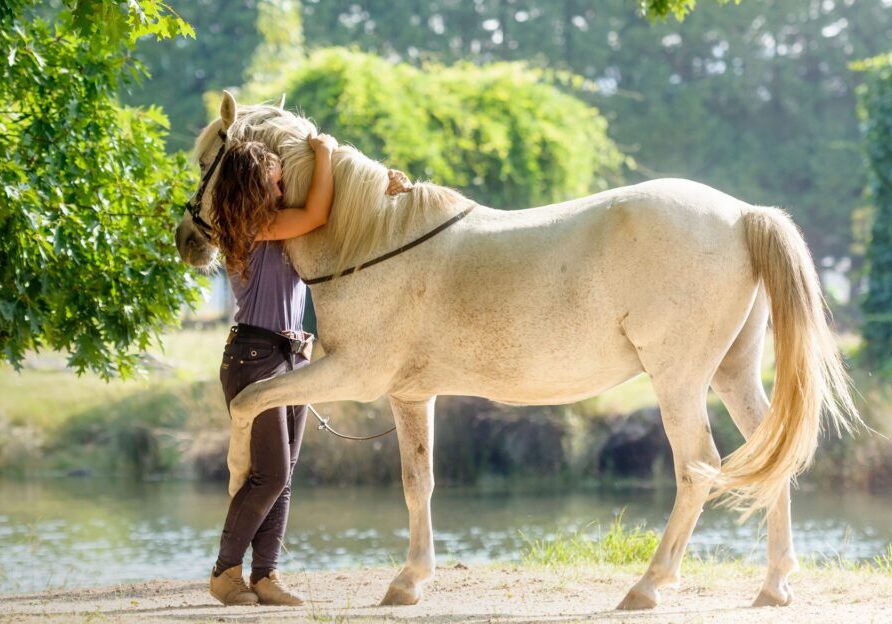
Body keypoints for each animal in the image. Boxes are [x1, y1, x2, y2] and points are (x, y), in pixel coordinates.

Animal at [175, 91, 859, 611]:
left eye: (208, 158)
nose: (186, 238)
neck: (370, 240)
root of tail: (742, 214)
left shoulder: (352, 375)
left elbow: (250, 402)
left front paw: (235, 475)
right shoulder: (410, 395)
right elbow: (418, 482)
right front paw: (409, 581)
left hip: (679, 381)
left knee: (696, 467)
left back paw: (648, 586)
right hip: (732, 373)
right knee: (771, 457)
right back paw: (773, 587)